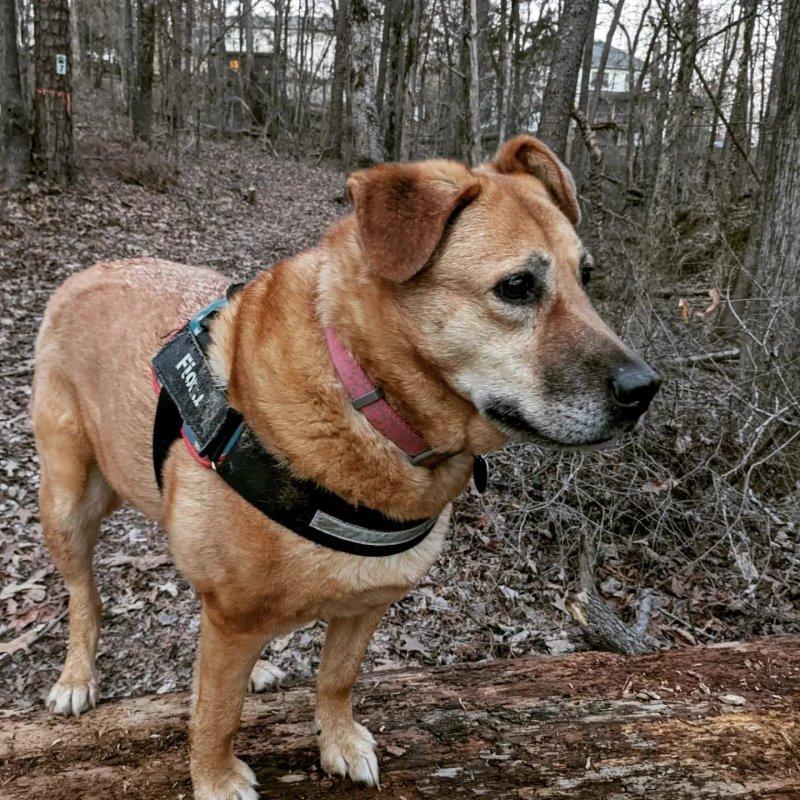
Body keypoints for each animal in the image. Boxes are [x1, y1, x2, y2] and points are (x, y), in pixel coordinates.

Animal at [31, 134, 656, 796]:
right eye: (516, 287)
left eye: (586, 277)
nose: (645, 389)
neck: (366, 399)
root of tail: (87, 273)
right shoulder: (232, 616)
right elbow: (217, 713)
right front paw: (216, 778)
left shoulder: (366, 601)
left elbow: (337, 678)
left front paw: (338, 741)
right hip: (67, 500)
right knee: (84, 593)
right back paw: (77, 675)